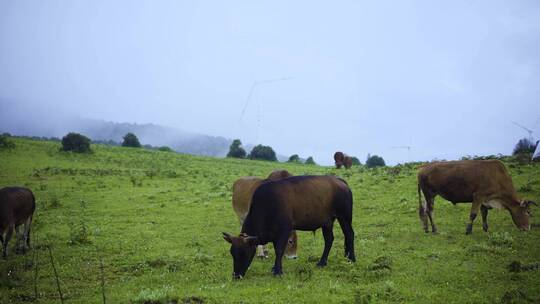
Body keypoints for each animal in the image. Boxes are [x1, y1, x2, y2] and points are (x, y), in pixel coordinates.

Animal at [223, 175, 354, 280]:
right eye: (232, 253)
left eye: (244, 253)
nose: (236, 275)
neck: (267, 204)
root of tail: (339, 180)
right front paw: (275, 268)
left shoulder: (284, 230)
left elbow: (279, 250)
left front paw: (278, 271)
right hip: (327, 222)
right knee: (329, 239)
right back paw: (322, 262)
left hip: (344, 217)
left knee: (349, 234)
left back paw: (351, 259)